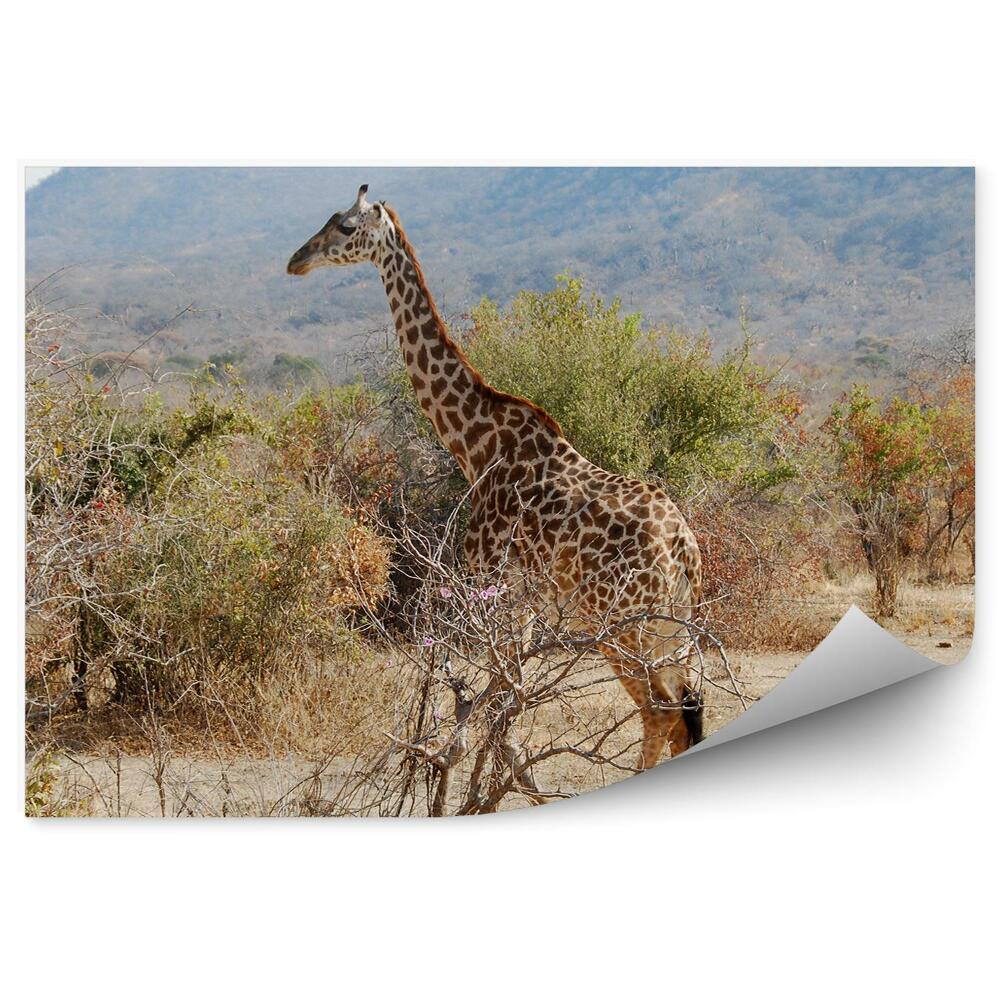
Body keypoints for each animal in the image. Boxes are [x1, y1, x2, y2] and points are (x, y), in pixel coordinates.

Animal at [288, 185, 705, 769]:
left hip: (621, 625)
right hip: (670, 631)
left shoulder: (495, 586)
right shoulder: (523, 602)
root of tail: (683, 546)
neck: (476, 444)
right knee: (682, 719)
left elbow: (497, 704)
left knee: (660, 713)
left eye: (346, 227)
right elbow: (506, 704)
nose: (296, 260)